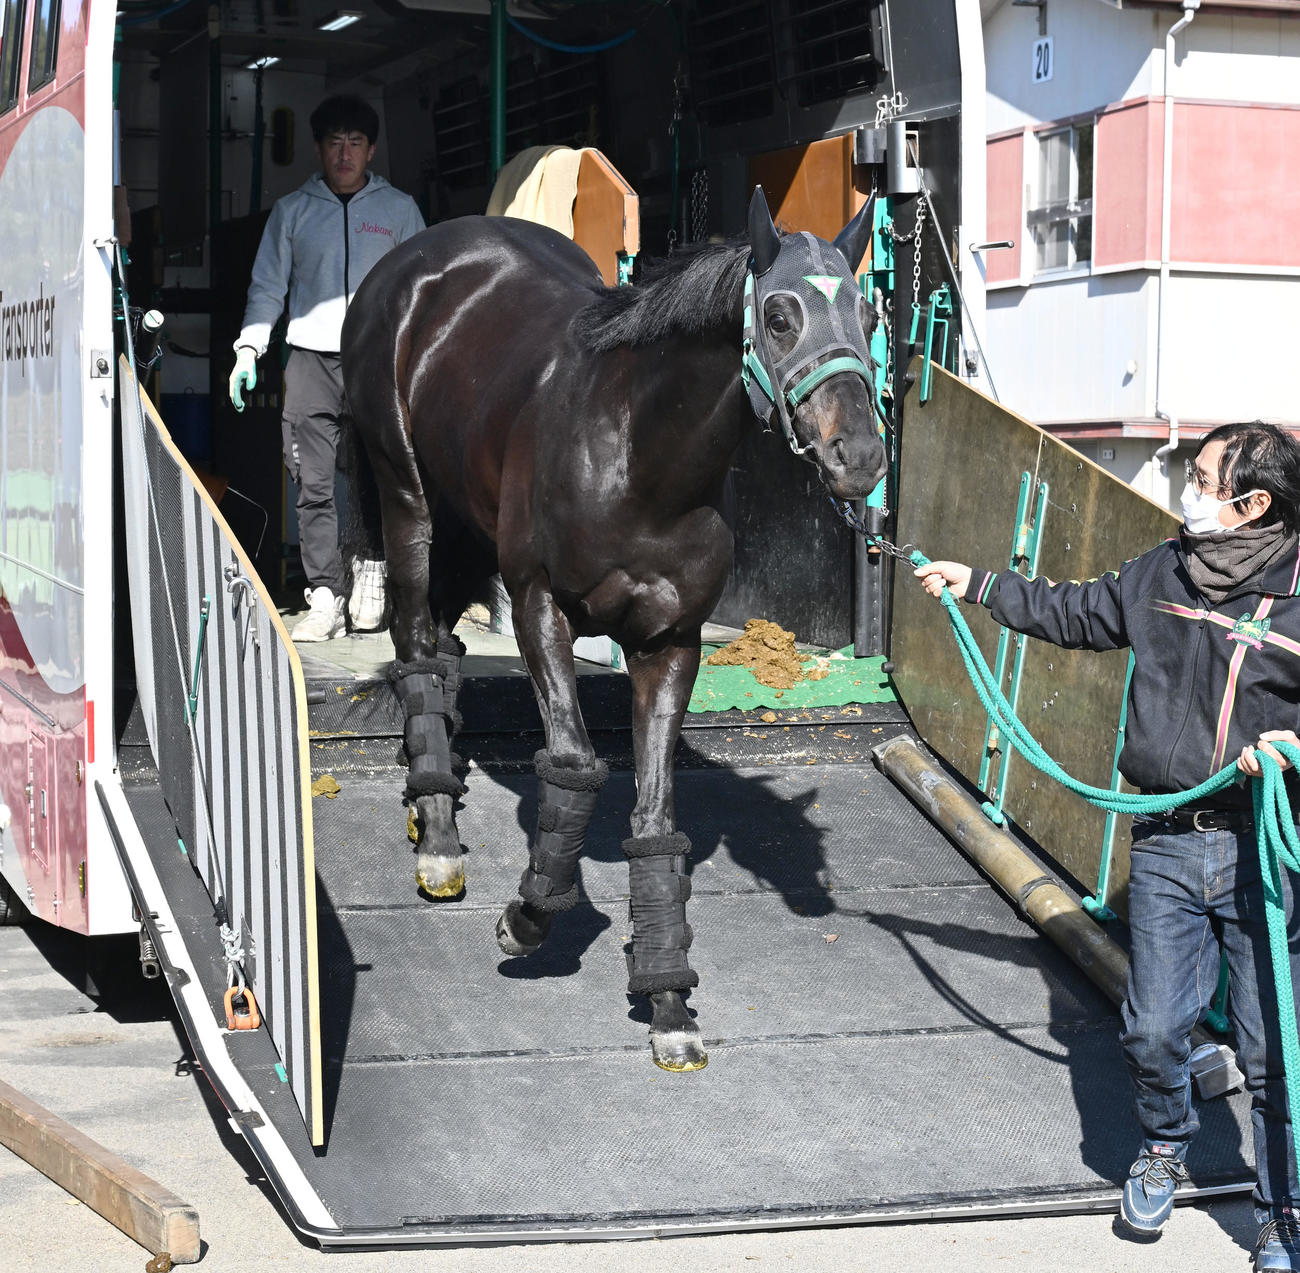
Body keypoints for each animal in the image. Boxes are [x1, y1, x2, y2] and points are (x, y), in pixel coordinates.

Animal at [341, 187, 887, 1071]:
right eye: (778, 315)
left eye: (869, 314)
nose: (860, 456)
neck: (640, 457)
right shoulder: (540, 606)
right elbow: (573, 767)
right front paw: (530, 914)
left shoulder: (671, 644)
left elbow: (656, 821)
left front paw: (667, 1000)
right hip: (410, 499)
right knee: (418, 646)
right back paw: (440, 841)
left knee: (445, 650)